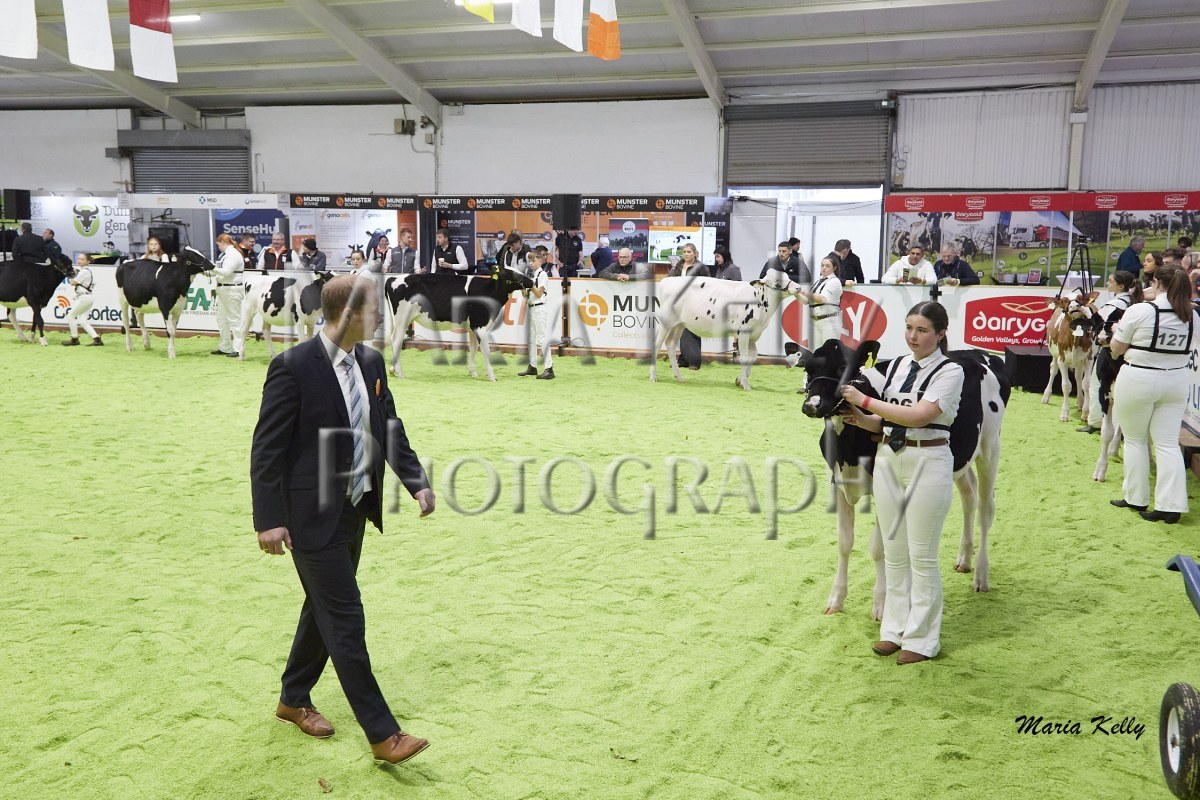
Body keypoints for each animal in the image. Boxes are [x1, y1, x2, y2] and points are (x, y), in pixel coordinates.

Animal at [383, 267, 534, 381]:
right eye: (512, 273)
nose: (531, 281)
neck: (489, 290)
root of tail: (393, 278)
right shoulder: (480, 325)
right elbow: (486, 350)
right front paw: (492, 376)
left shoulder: (473, 327)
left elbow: (473, 348)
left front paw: (473, 372)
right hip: (402, 319)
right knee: (396, 341)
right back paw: (401, 374)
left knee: (392, 340)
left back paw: (393, 370)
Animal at [649, 267, 802, 390]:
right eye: (777, 280)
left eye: (788, 275)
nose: (799, 288)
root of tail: (667, 281)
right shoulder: (743, 332)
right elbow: (744, 357)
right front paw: (746, 385)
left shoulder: (753, 335)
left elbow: (753, 357)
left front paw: (740, 380)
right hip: (666, 322)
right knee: (656, 345)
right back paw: (653, 377)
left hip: (679, 324)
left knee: (671, 344)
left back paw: (679, 377)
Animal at [1042, 291, 1096, 422]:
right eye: (1064, 301)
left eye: (1081, 298)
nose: (1075, 306)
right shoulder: (1062, 359)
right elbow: (1066, 386)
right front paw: (1064, 413)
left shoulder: (1089, 358)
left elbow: (1086, 384)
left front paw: (1086, 412)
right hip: (1054, 354)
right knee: (1053, 370)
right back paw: (1046, 396)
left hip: (1079, 361)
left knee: (1078, 376)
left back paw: (1080, 402)